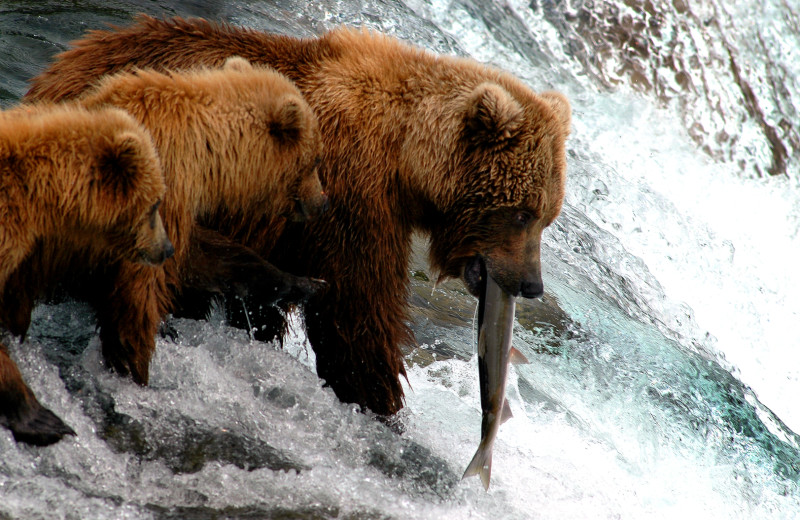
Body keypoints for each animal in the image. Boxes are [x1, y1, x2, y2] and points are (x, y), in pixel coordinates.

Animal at [4, 57, 326, 390]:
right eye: (316, 159)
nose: (322, 202)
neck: (203, 153)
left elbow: (209, 257)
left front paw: (306, 283)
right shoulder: (155, 203)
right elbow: (143, 289)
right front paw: (137, 367)